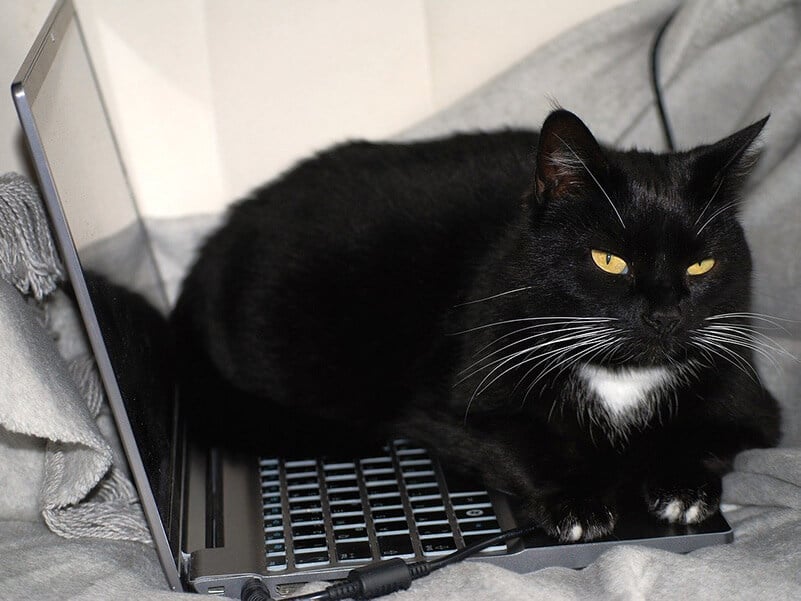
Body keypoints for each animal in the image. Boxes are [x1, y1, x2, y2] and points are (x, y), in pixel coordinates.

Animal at [172, 109, 780, 544]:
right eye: (610, 260)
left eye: (701, 265)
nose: (665, 314)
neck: (621, 377)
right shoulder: (450, 405)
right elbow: (522, 440)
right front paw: (576, 501)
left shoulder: (747, 396)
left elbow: (708, 433)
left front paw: (682, 485)